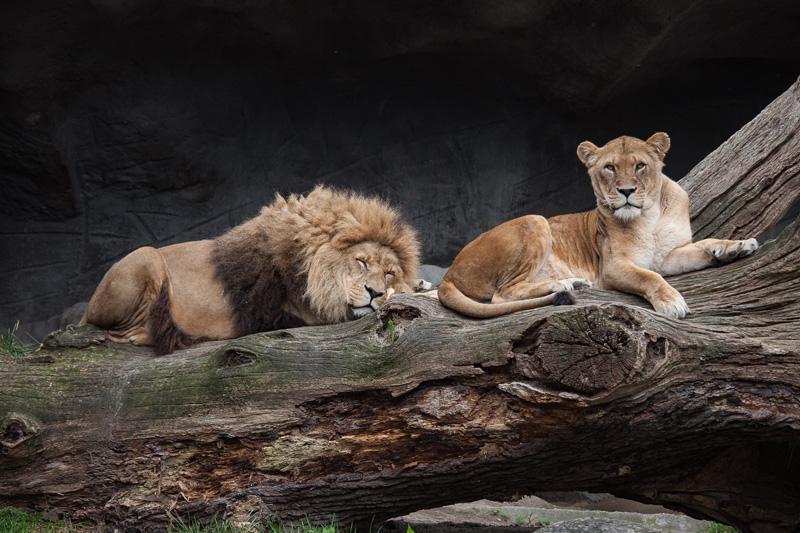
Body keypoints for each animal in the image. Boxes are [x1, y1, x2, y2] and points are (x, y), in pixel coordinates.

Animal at [81, 186, 421, 354]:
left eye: (389, 273)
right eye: (361, 262)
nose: (374, 292)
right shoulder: (292, 313)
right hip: (147, 256)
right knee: (121, 332)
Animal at [438, 132, 759, 319]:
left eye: (640, 165)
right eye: (610, 168)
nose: (626, 191)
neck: (649, 217)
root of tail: (449, 273)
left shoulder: (667, 256)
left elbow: (705, 244)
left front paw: (737, 246)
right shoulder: (613, 266)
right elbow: (650, 277)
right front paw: (672, 302)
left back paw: (575, 281)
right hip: (535, 220)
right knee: (502, 294)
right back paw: (564, 283)